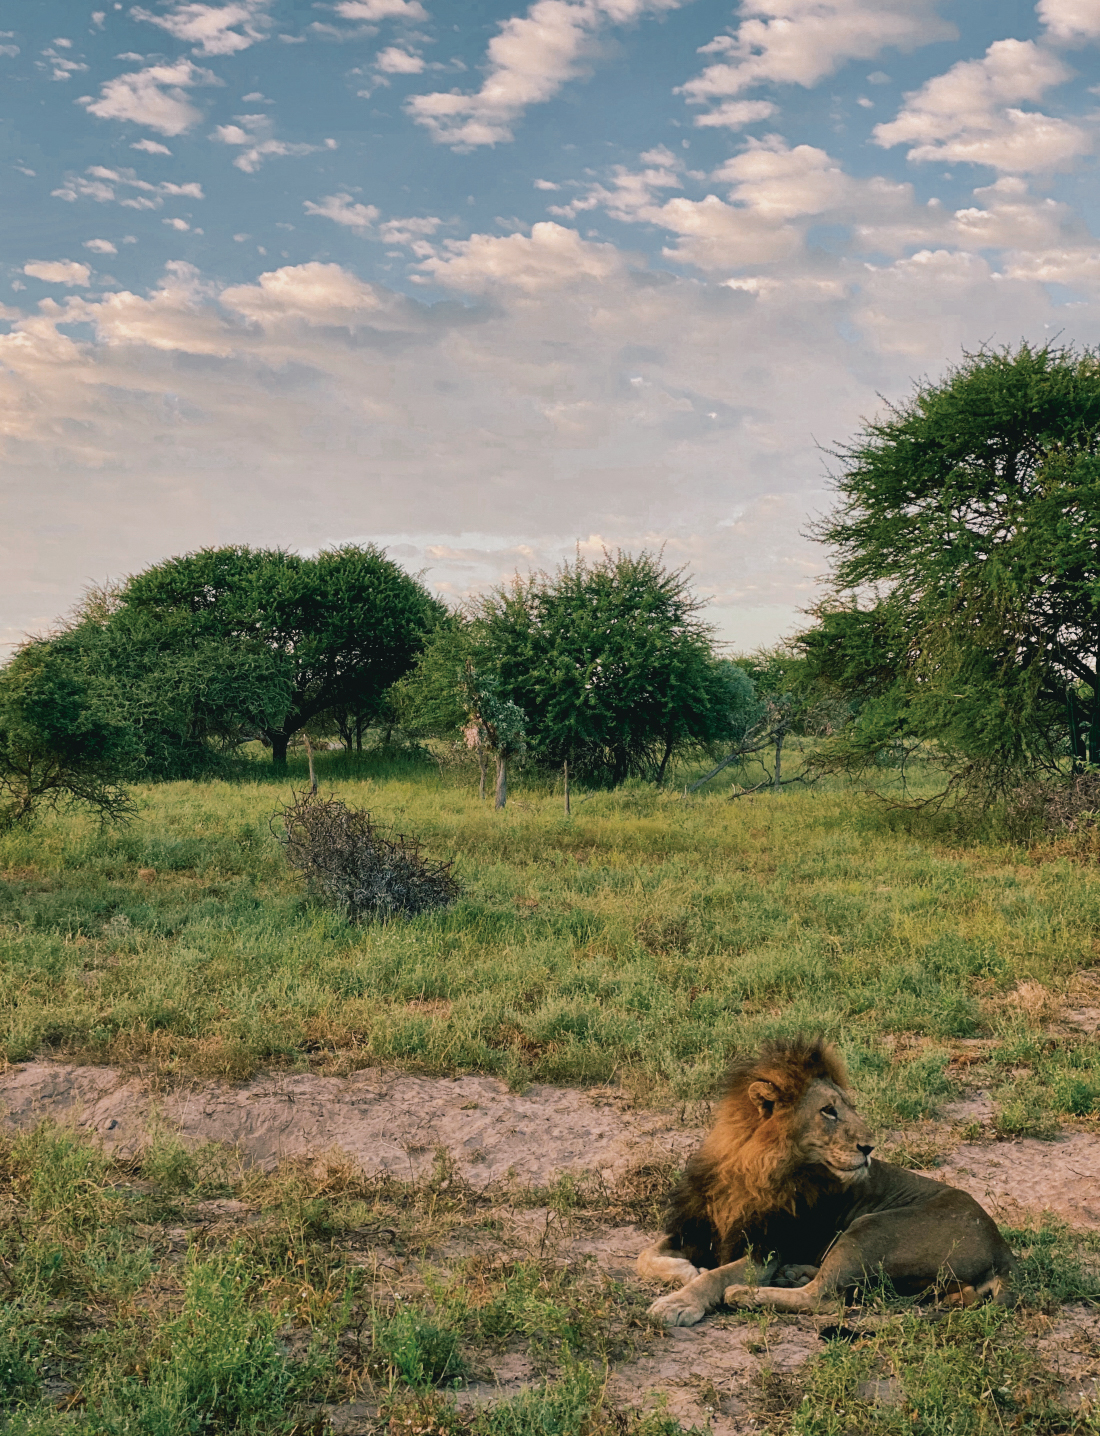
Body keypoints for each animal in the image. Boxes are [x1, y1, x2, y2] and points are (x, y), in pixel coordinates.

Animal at [643, 1033, 1022, 1321]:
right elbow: (645, 1257)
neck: (748, 1170)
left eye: (848, 1108)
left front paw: (680, 1301)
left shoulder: (765, 1251)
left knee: (824, 1298)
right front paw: (688, 1271)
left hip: (869, 1229)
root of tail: (1002, 1250)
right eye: (828, 1111)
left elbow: (715, 1277)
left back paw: (745, 1293)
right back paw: (793, 1273)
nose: (869, 1147)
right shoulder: (695, 1230)